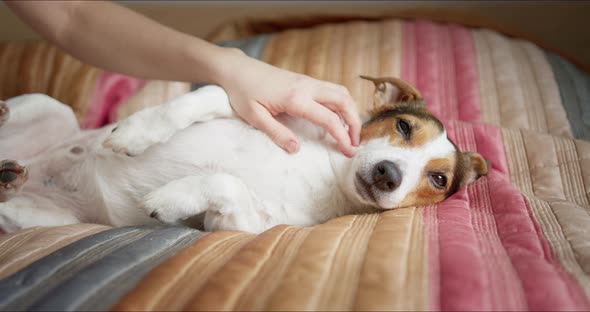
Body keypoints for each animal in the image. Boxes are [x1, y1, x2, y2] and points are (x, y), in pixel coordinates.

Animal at [0, 77, 490, 234]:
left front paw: (171, 199)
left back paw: (8, 178)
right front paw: (135, 133)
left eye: (438, 180)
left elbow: (226, 183)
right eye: (404, 127)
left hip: (40, 220)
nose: (390, 173)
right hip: (50, 106)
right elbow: (211, 94)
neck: (329, 171)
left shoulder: (240, 225)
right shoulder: (256, 106)